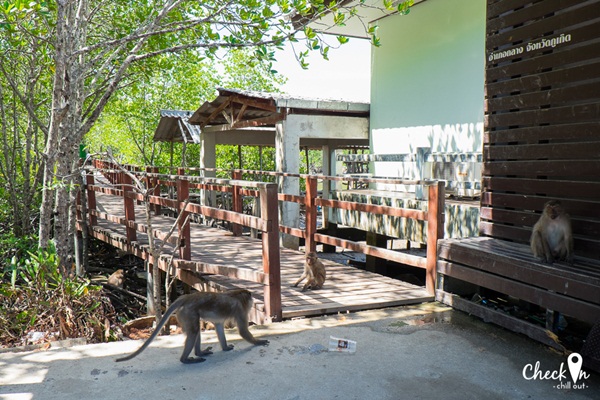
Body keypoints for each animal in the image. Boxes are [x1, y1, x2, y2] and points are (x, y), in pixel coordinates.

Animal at [116, 290, 268, 364]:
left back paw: (199, 353)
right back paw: (186, 360)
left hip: (184, 314)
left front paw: (225, 348)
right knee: (194, 331)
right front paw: (259, 342)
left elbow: (219, 325)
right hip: (187, 312)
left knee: (196, 330)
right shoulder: (241, 310)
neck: (237, 295)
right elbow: (242, 331)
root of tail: (187, 297)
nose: (252, 301)